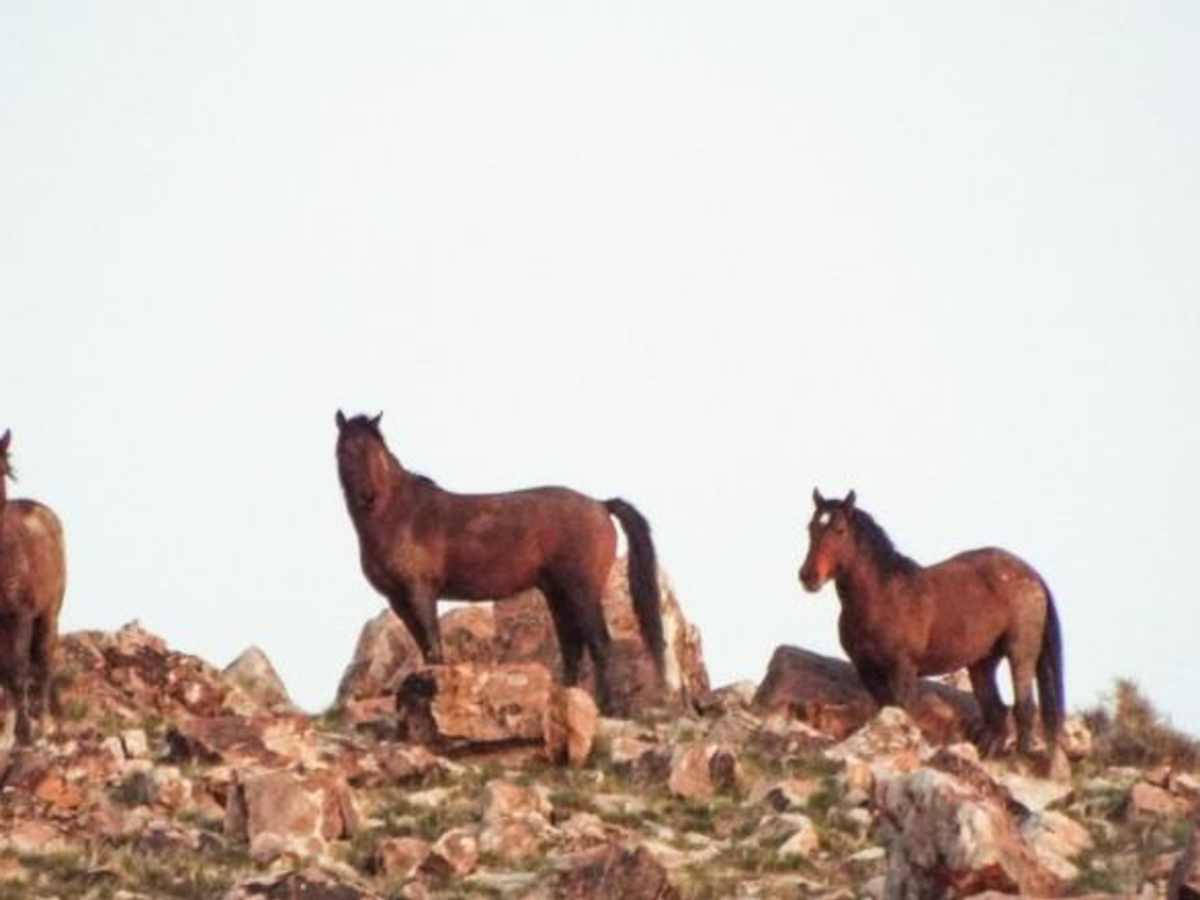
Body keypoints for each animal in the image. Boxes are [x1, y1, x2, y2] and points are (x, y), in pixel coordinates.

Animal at [334, 410, 666, 714]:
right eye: (345, 449)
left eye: (377, 450)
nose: (369, 497)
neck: (401, 515)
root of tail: (600, 504)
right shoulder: (398, 600)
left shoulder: (421, 592)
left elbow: (433, 649)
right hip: (558, 594)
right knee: (572, 648)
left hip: (582, 590)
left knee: (599, 645)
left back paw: (608, 709)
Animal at [798, 488, 1064, 757]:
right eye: (811, 527)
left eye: (840, 529)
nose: (808, 576)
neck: (883, 594)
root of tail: (1031, 574)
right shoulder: (867, 669)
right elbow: (886, 709)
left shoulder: (902, 669)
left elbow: (902, 708)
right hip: (982, 663)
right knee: (996, 713)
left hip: (1020, 651)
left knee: (1024, 707)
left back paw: (1021, 756)